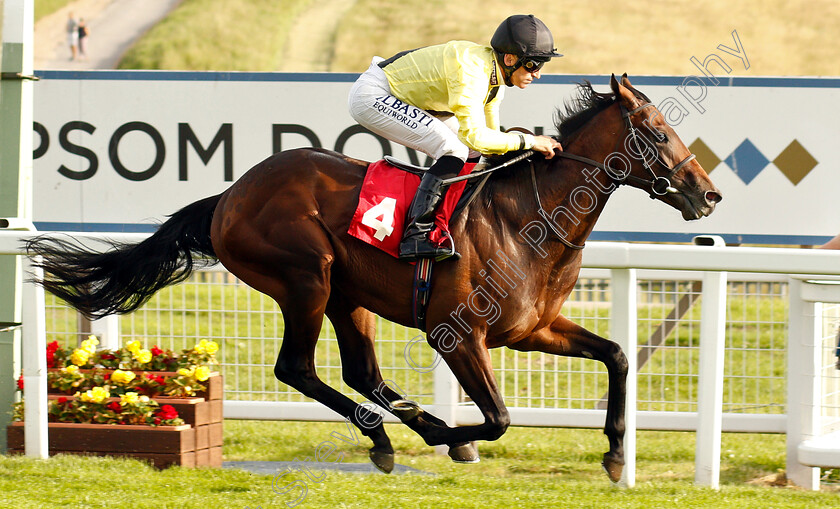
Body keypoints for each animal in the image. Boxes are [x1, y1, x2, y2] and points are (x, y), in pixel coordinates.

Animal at [27, 74, 720, 480]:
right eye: (658, 131)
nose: (707, 194)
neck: (528, 218)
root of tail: (229, 195)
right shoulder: (455, 333)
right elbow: (497, 418)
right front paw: (454, 437)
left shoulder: (532, 330)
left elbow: (617, 355)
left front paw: (615, 453)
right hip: (306, 277)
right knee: (297, 368)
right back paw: (397, 433)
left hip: (348, 296)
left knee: (362, 373)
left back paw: (393, 430)